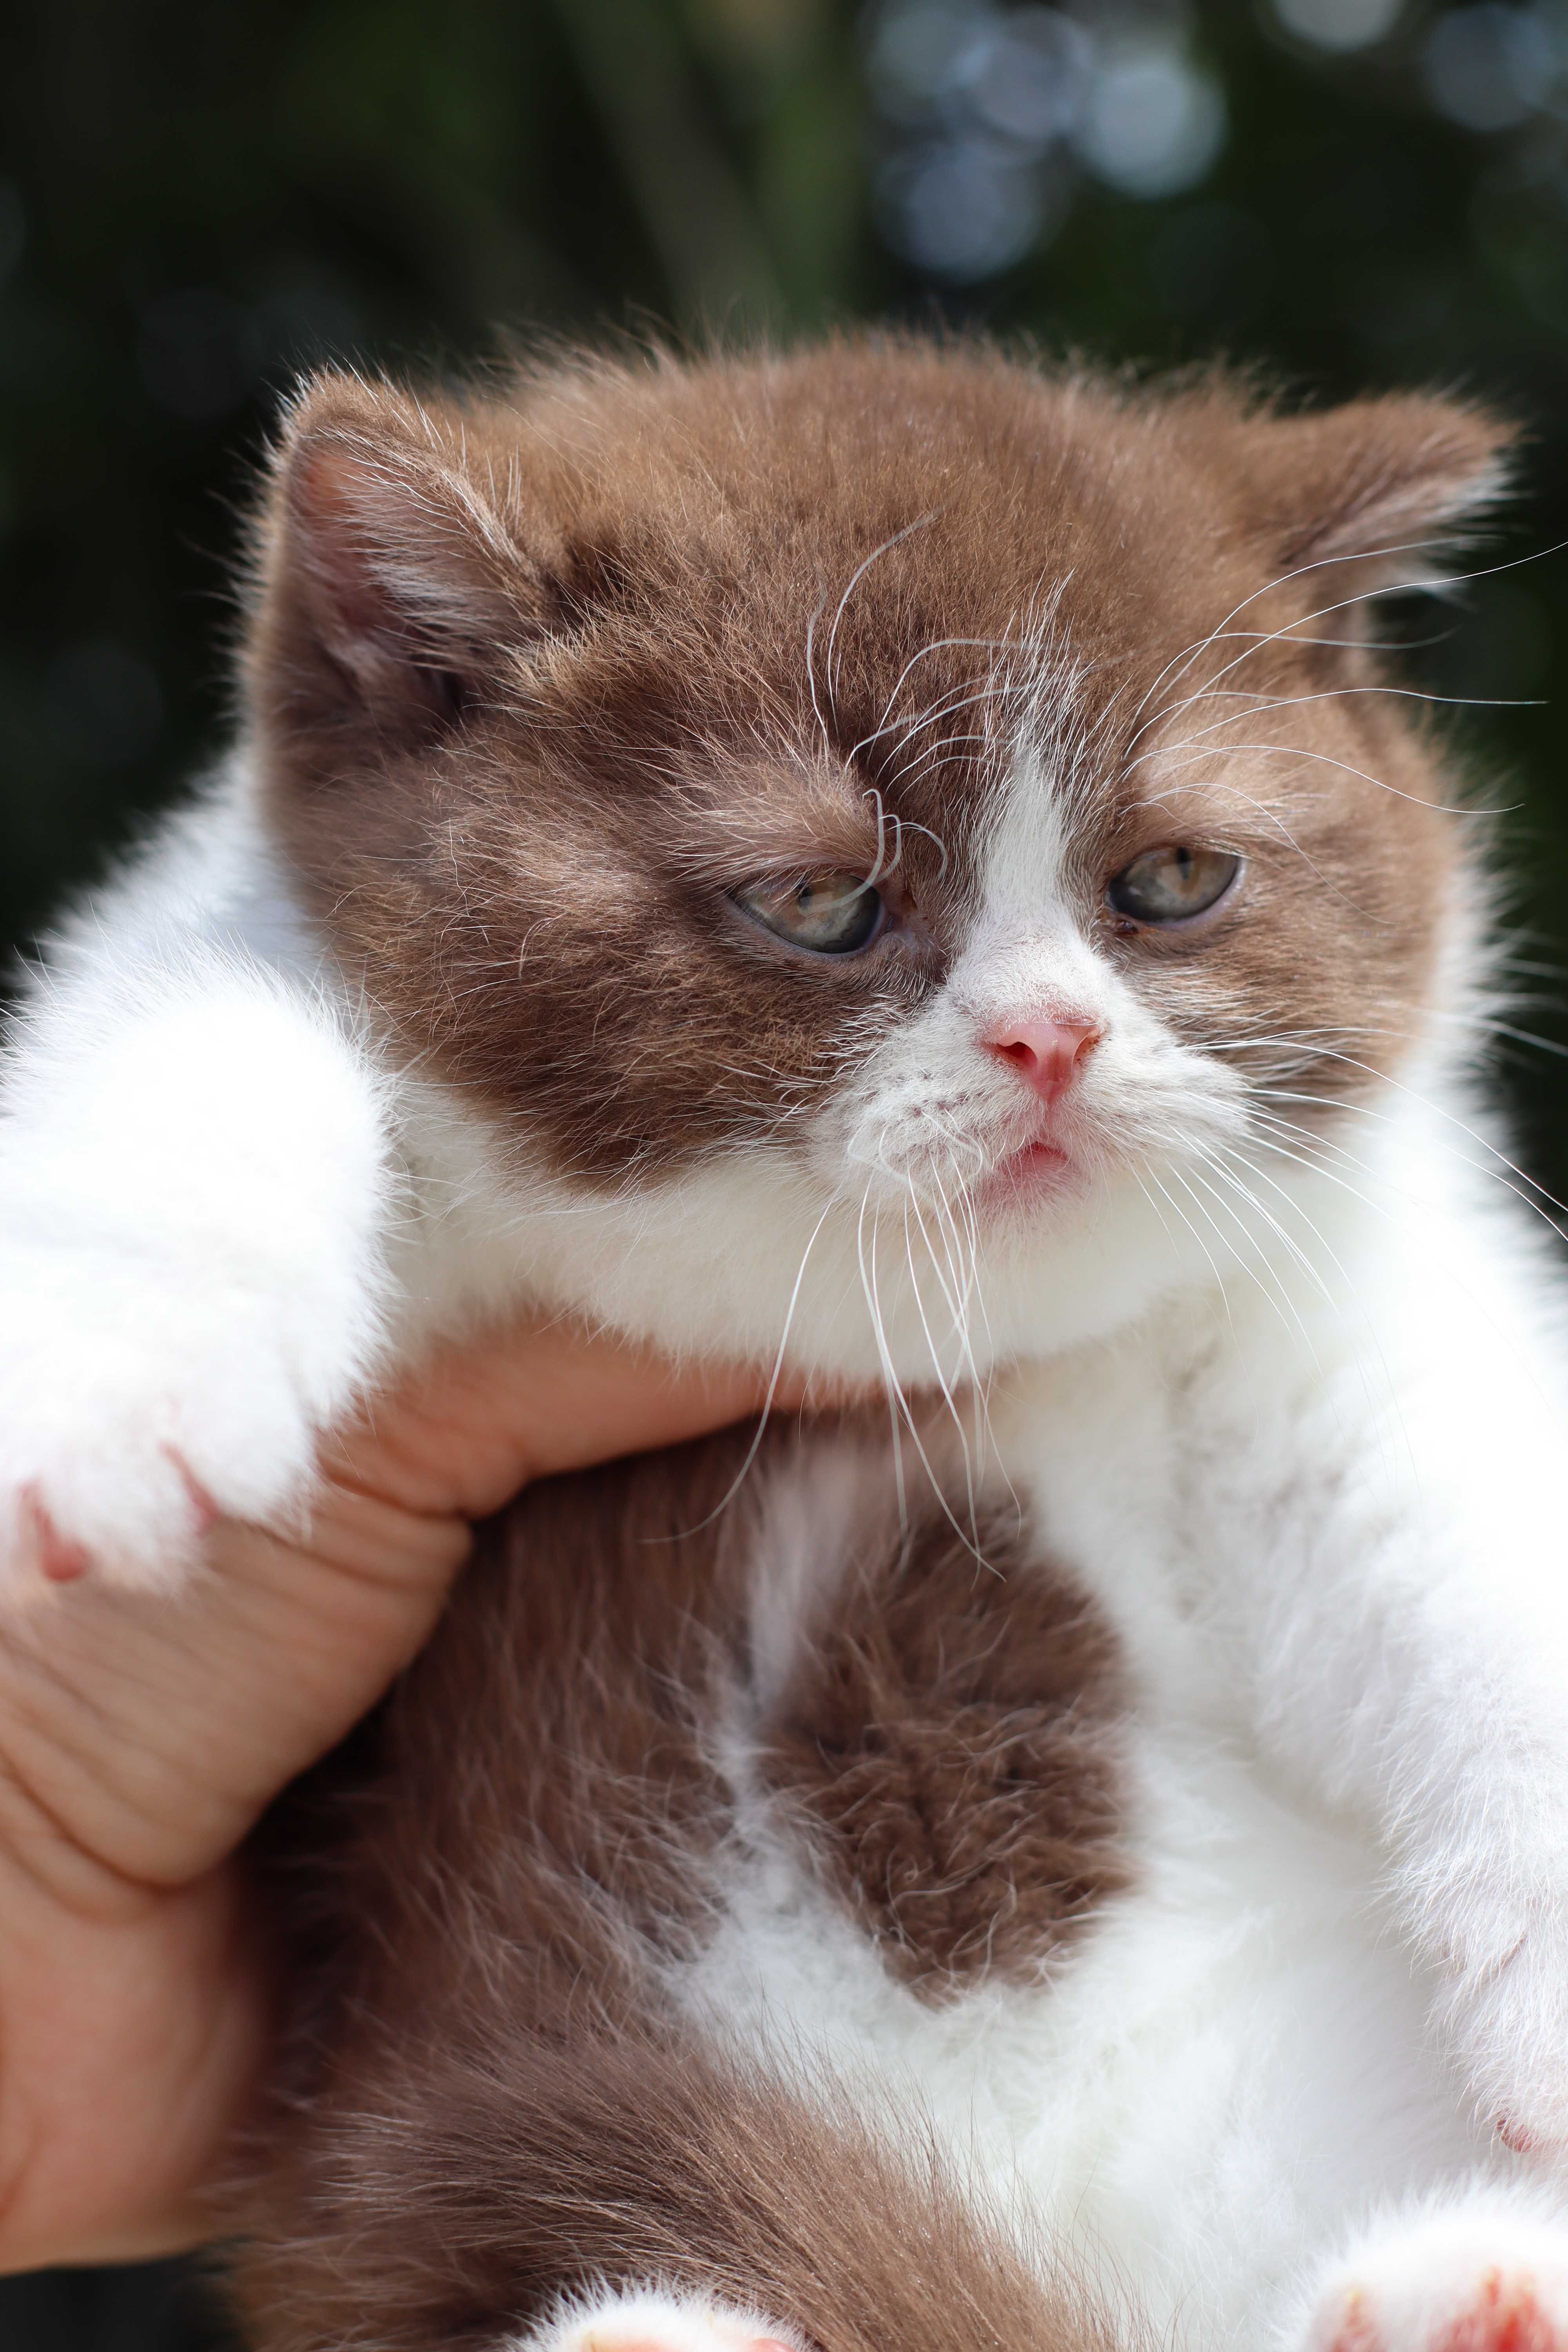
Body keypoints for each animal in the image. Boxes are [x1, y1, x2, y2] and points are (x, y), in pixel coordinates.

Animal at [3, 336, 1568, 2352]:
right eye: (820, 902)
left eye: (1171, 880)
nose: (1049, 1036)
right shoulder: (234, 916)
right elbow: (204, 1033)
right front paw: (122, 1402)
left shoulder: (1334, 1303)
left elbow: (1458, 1524)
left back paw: (1463, 2285)